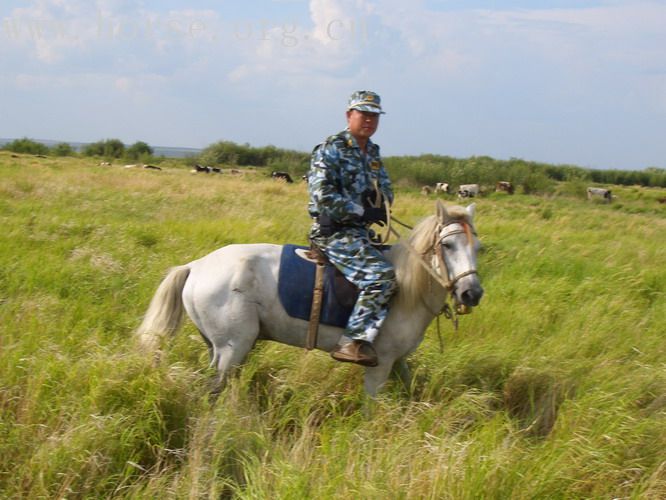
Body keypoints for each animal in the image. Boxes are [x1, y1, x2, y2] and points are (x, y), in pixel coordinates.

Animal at [137, 201, 480, 396]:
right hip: (232, 348)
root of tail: (195, 266)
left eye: (479, 247)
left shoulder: (399, 362)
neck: (407, 289)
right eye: (447, 245)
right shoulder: (380, 364)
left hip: (219, 347)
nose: (472, 293)